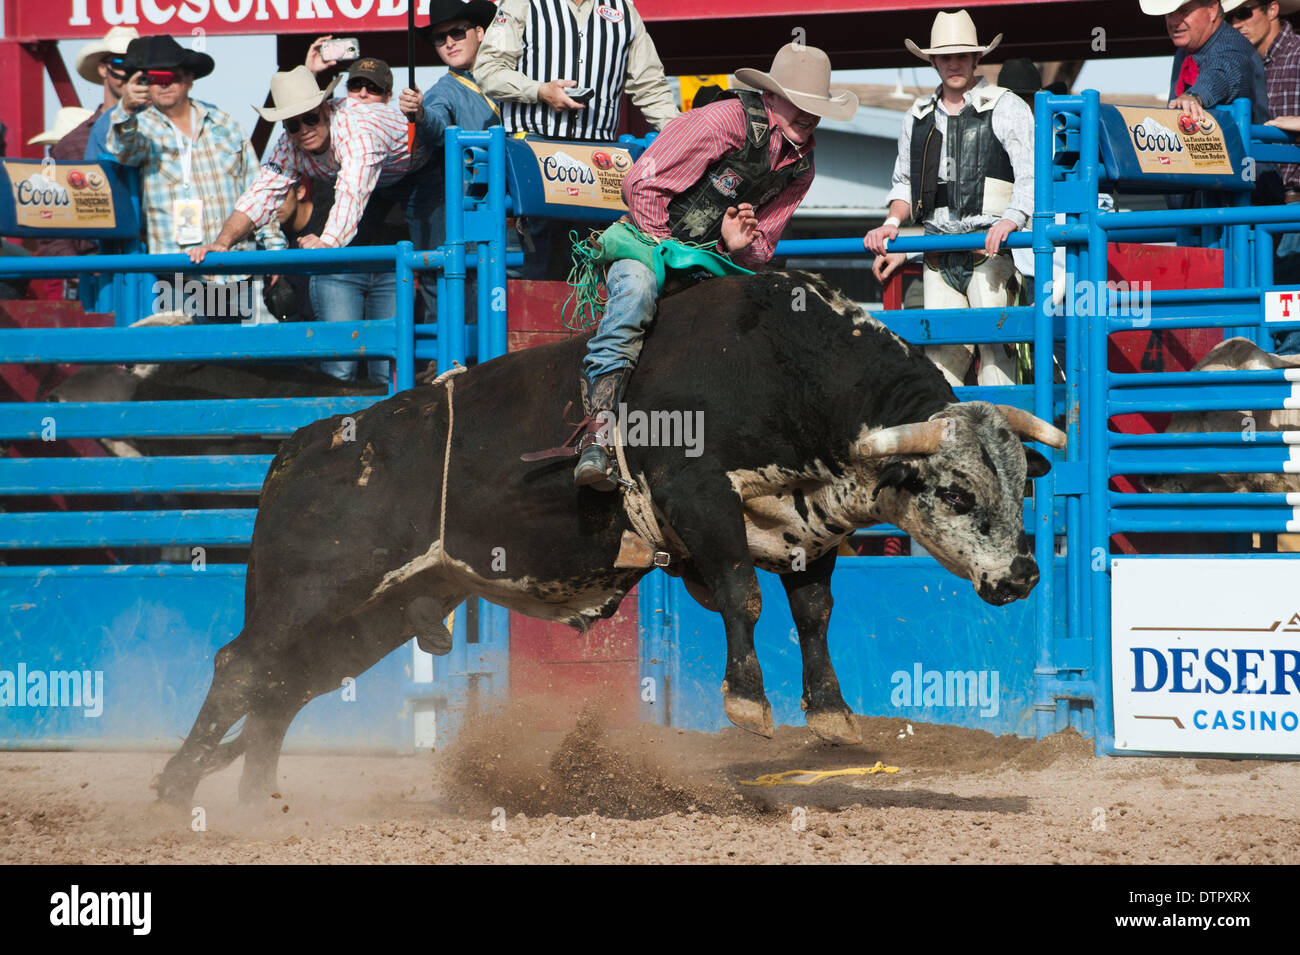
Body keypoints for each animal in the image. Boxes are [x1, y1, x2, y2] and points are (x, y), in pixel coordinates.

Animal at [154, 268, 1066, 805]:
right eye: (956, 489)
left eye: (1020, 483)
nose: (1023, 575)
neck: (784, 370)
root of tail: (303, 448)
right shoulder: (700, 500)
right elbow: (743, 596)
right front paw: (748, 703)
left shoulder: (807, 530)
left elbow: (812, 612)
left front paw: (834, 715)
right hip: (311, 589)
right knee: (242, 669)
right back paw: (175, 787)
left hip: (380, 611)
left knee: (283, 690)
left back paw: (256, 805)